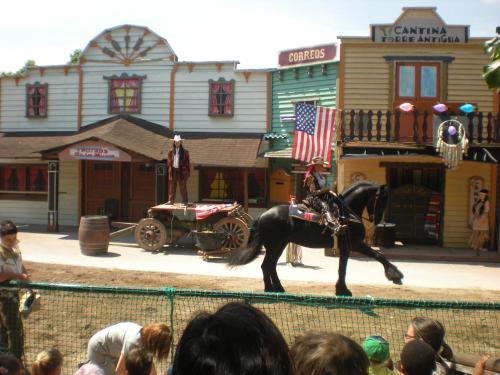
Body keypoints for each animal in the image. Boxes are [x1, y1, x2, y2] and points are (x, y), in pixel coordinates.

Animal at [229, 182, 404, 296]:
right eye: (381, 199)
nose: (377, 220)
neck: (345, 214)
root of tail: (262, 216)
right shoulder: (355, 244)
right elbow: (378, 256)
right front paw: (395, 275)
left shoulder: (347, 247)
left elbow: (343, 268)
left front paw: (341, 289)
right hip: (273, 245)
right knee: (266, 265)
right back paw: (270, 289)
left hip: (280, 245)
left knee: (270, 265)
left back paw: (278, 288)